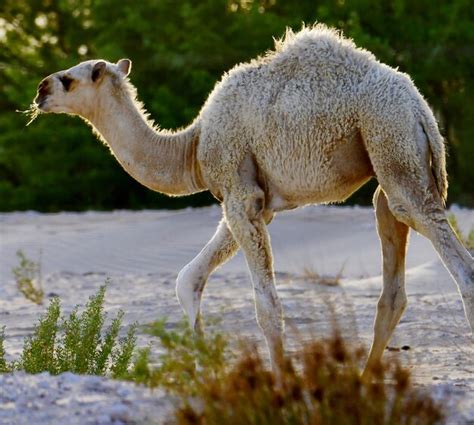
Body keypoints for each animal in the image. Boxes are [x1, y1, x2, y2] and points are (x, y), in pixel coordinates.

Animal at [31, 24, 472, 374]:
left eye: (70, 79)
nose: (40, 90)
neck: (192, 147)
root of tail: (421, 110)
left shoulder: (239, 192)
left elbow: (267, 308)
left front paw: (282, 382)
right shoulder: (248, 198)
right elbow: (187, 279)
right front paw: (205, 365)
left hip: (391, 138)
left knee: (456, 264)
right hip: (392, 163)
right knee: (391, 268)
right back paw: (364, 381)